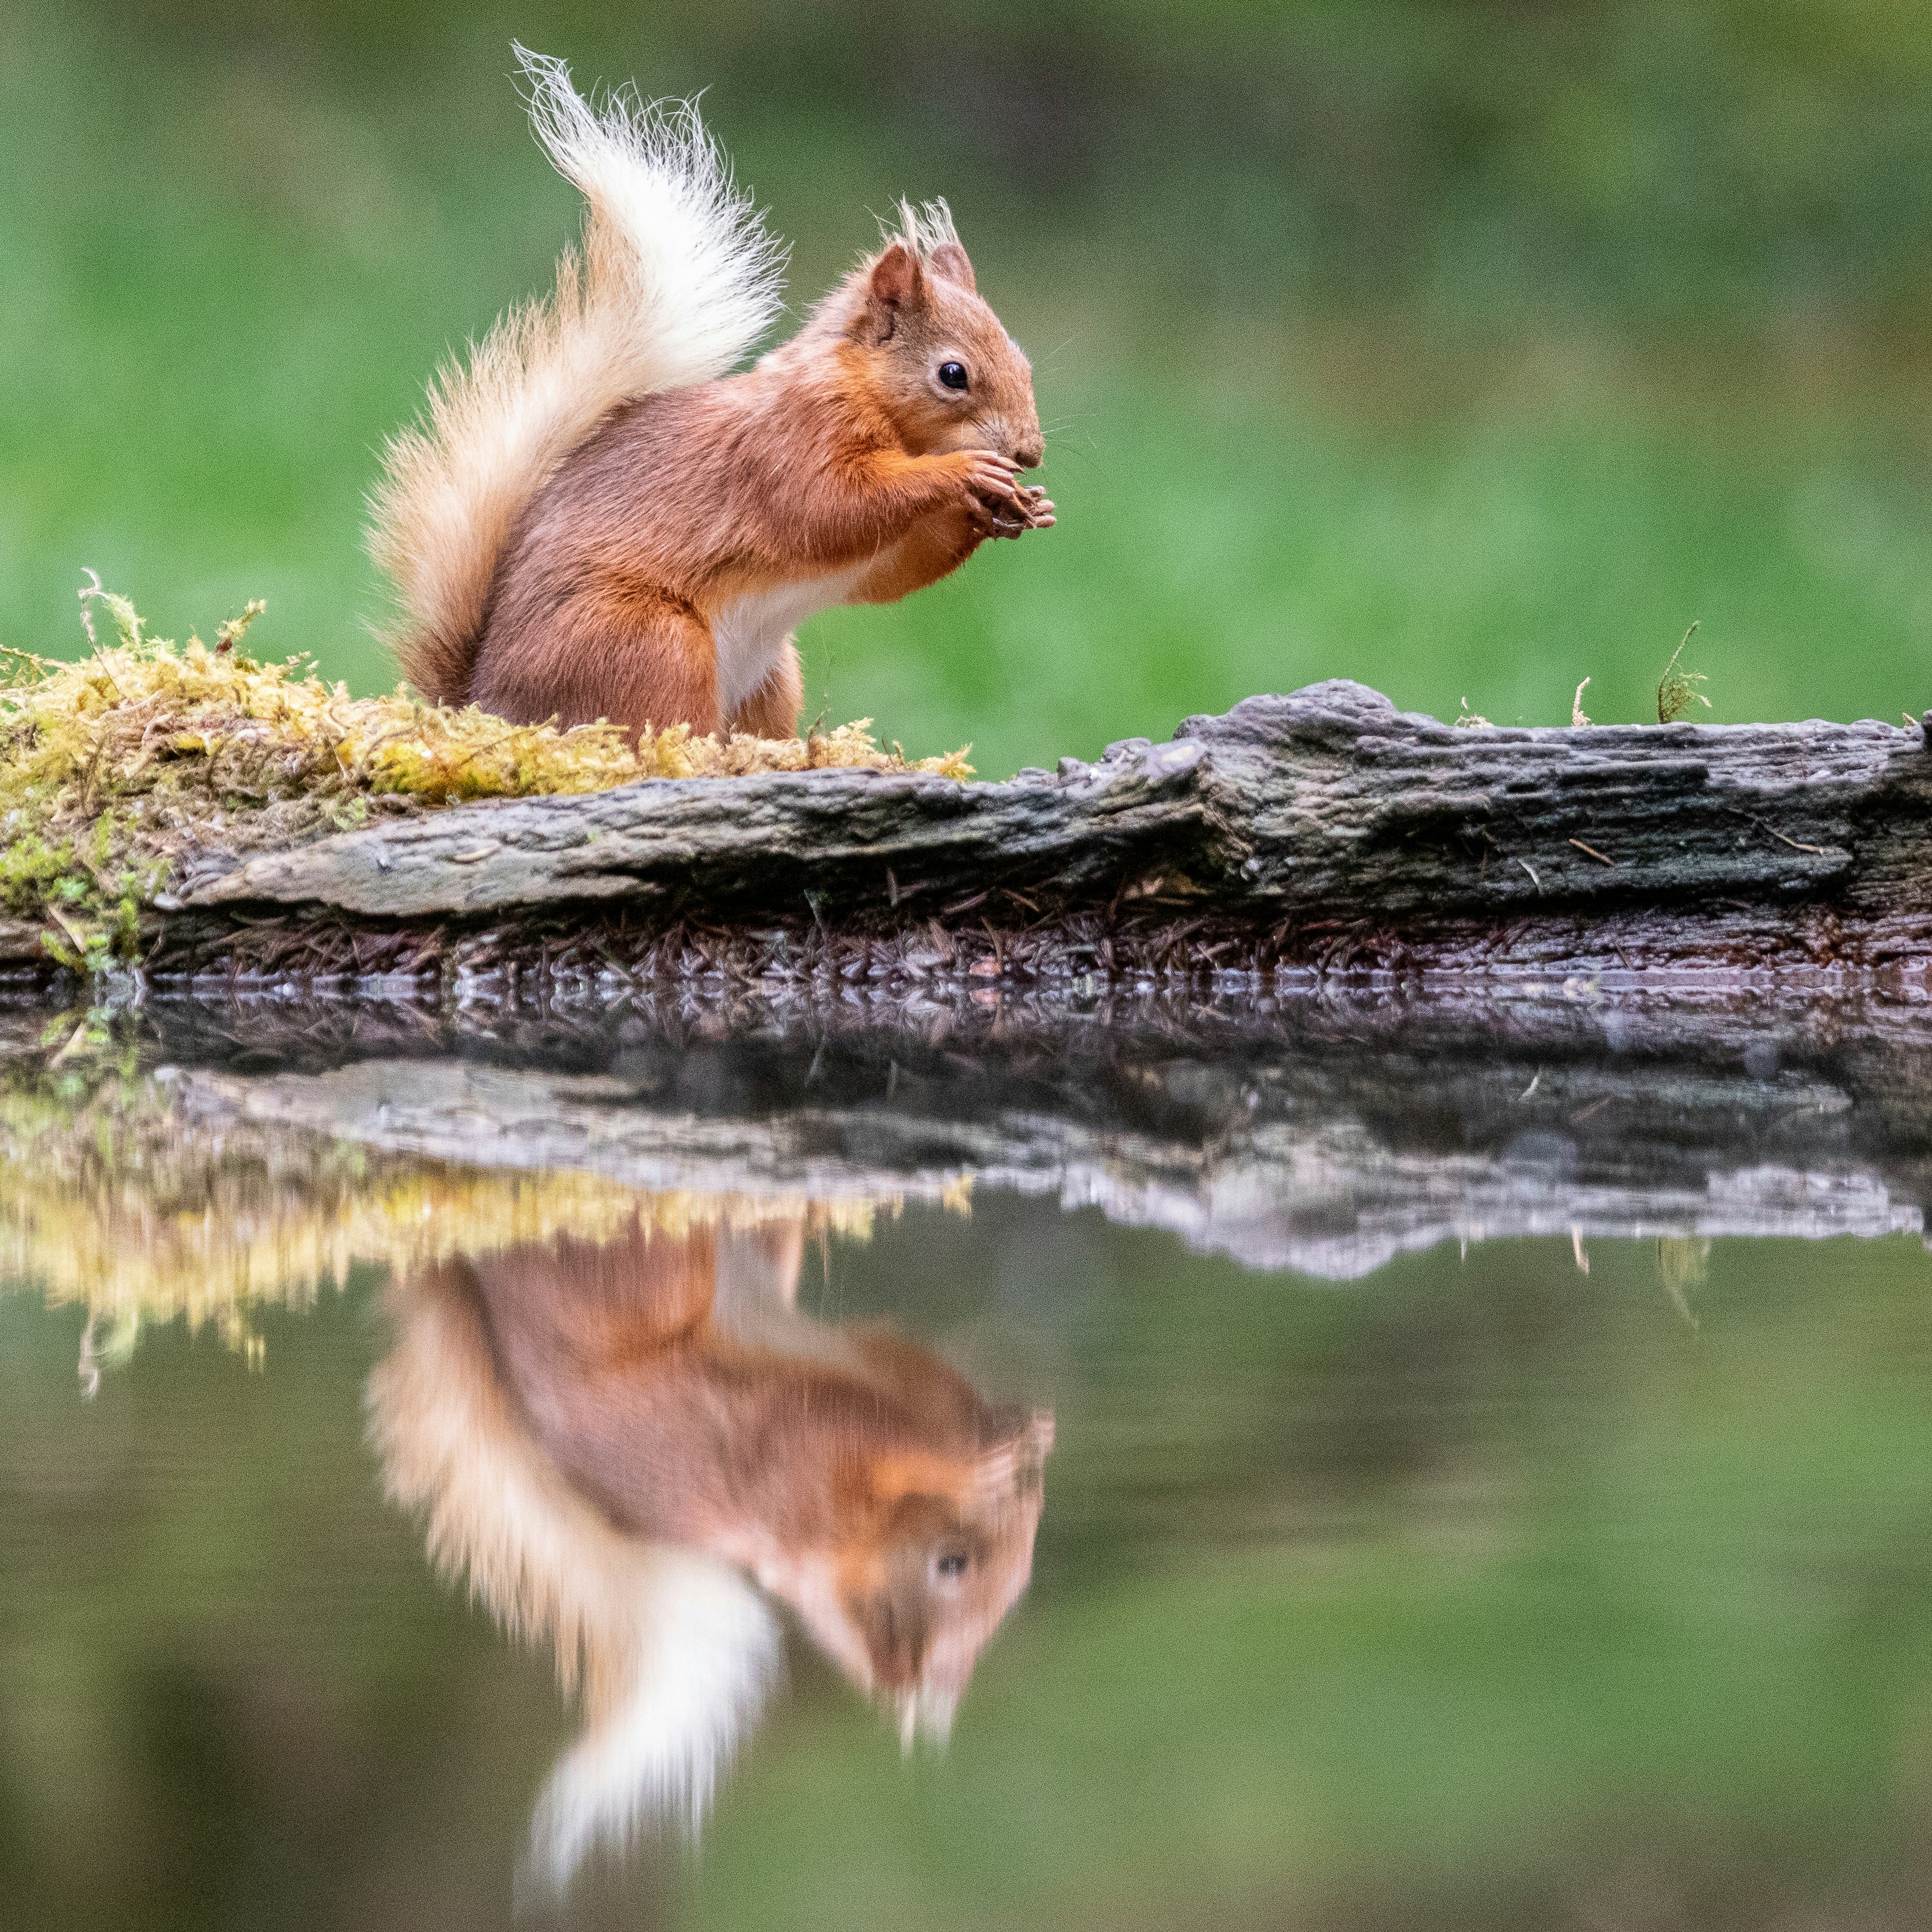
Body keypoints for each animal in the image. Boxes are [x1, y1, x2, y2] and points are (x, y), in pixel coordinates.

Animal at [368, 45, 1053, 742]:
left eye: (1024, 362)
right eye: (953, 374)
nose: (1029, 453)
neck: (884, 413)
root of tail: (490, 705)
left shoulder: (870, 546)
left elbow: (894, 569)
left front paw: (1014, 509)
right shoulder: (791, 442)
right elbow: (829, 508)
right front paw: (964, 473)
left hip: (769, 678)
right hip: (651, 644)